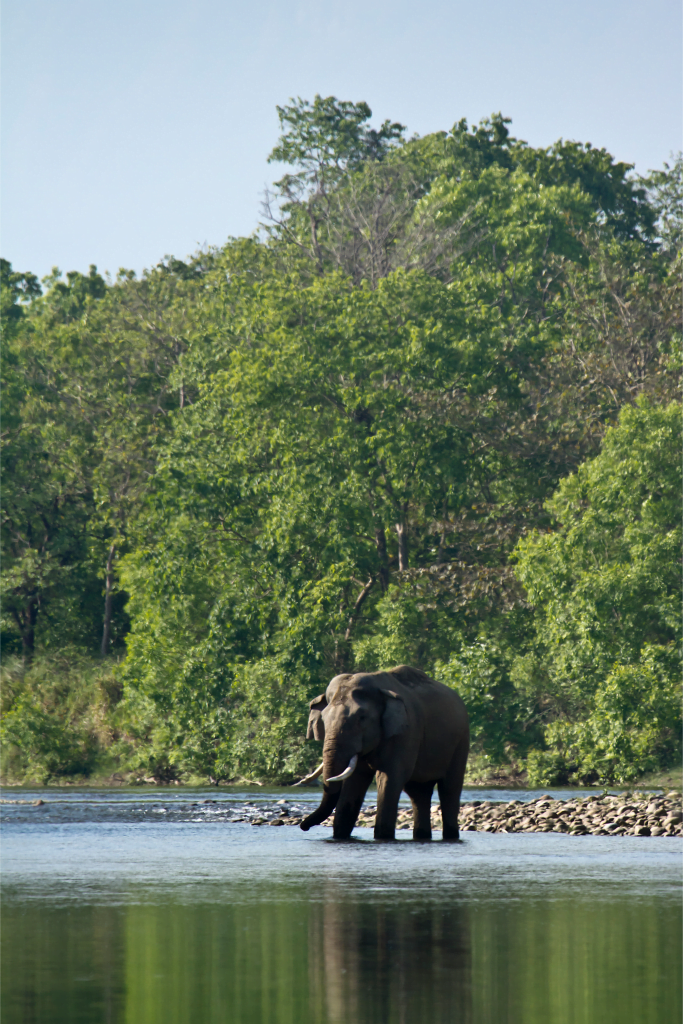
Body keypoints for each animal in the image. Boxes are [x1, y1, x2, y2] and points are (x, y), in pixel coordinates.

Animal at [299, 665, 469, 840]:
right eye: (323, 719)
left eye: (362, 718)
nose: (303, 826)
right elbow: (354, 780)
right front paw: (340, 837)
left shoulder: (405, 733)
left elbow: (389, 778)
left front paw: (383, 837)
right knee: (419, 793)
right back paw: (422, 836)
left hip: (461, 741)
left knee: (449, 788)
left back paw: (450, 836)